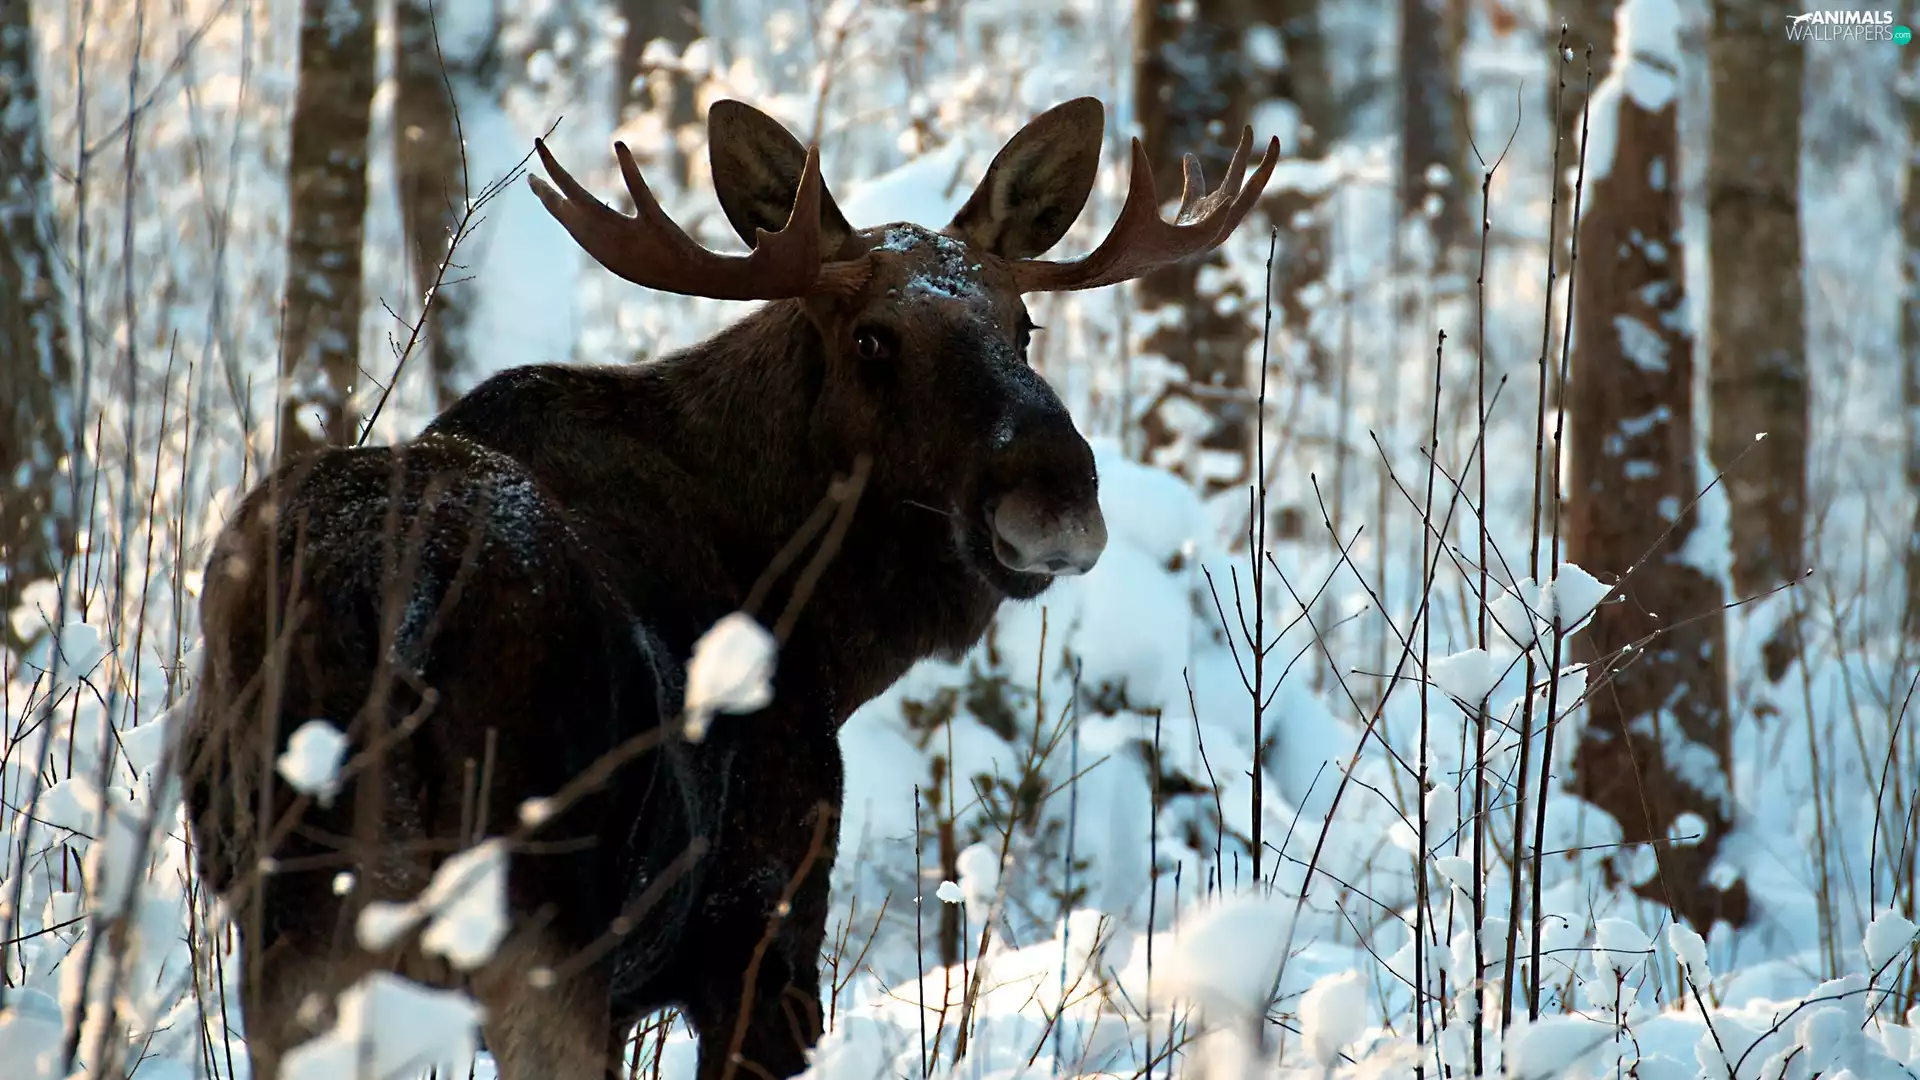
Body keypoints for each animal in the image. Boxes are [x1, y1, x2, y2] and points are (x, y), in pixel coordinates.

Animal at [179, 96, 1277, 1080]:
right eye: (872, 337)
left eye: (1025, 323)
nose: (1055, 498)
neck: (829, 636)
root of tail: (374, 603)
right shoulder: (762, 924)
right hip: (530, 926)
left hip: (294, 924)